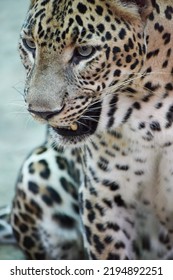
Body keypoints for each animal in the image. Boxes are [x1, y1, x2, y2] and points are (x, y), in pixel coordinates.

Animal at [9, 0, 173, 260]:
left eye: (84, 52)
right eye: (30, 44)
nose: (41, 113)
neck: (152, 122)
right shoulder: (103, 199)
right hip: (36, 170)